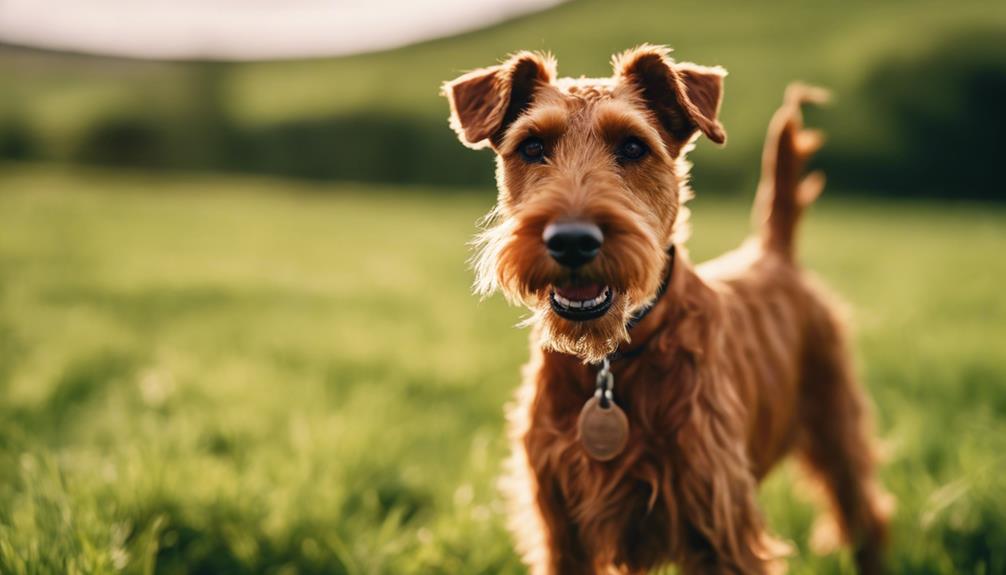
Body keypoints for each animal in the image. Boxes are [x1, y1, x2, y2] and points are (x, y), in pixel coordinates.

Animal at [444, 45, 893, 575]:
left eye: (634, 147)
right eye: (532, 147)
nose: (572, 240)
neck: (613, 362)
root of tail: (773, 252)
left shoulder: (721, 525)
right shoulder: (561, 530)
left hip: (836, 426)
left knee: (865, 516)